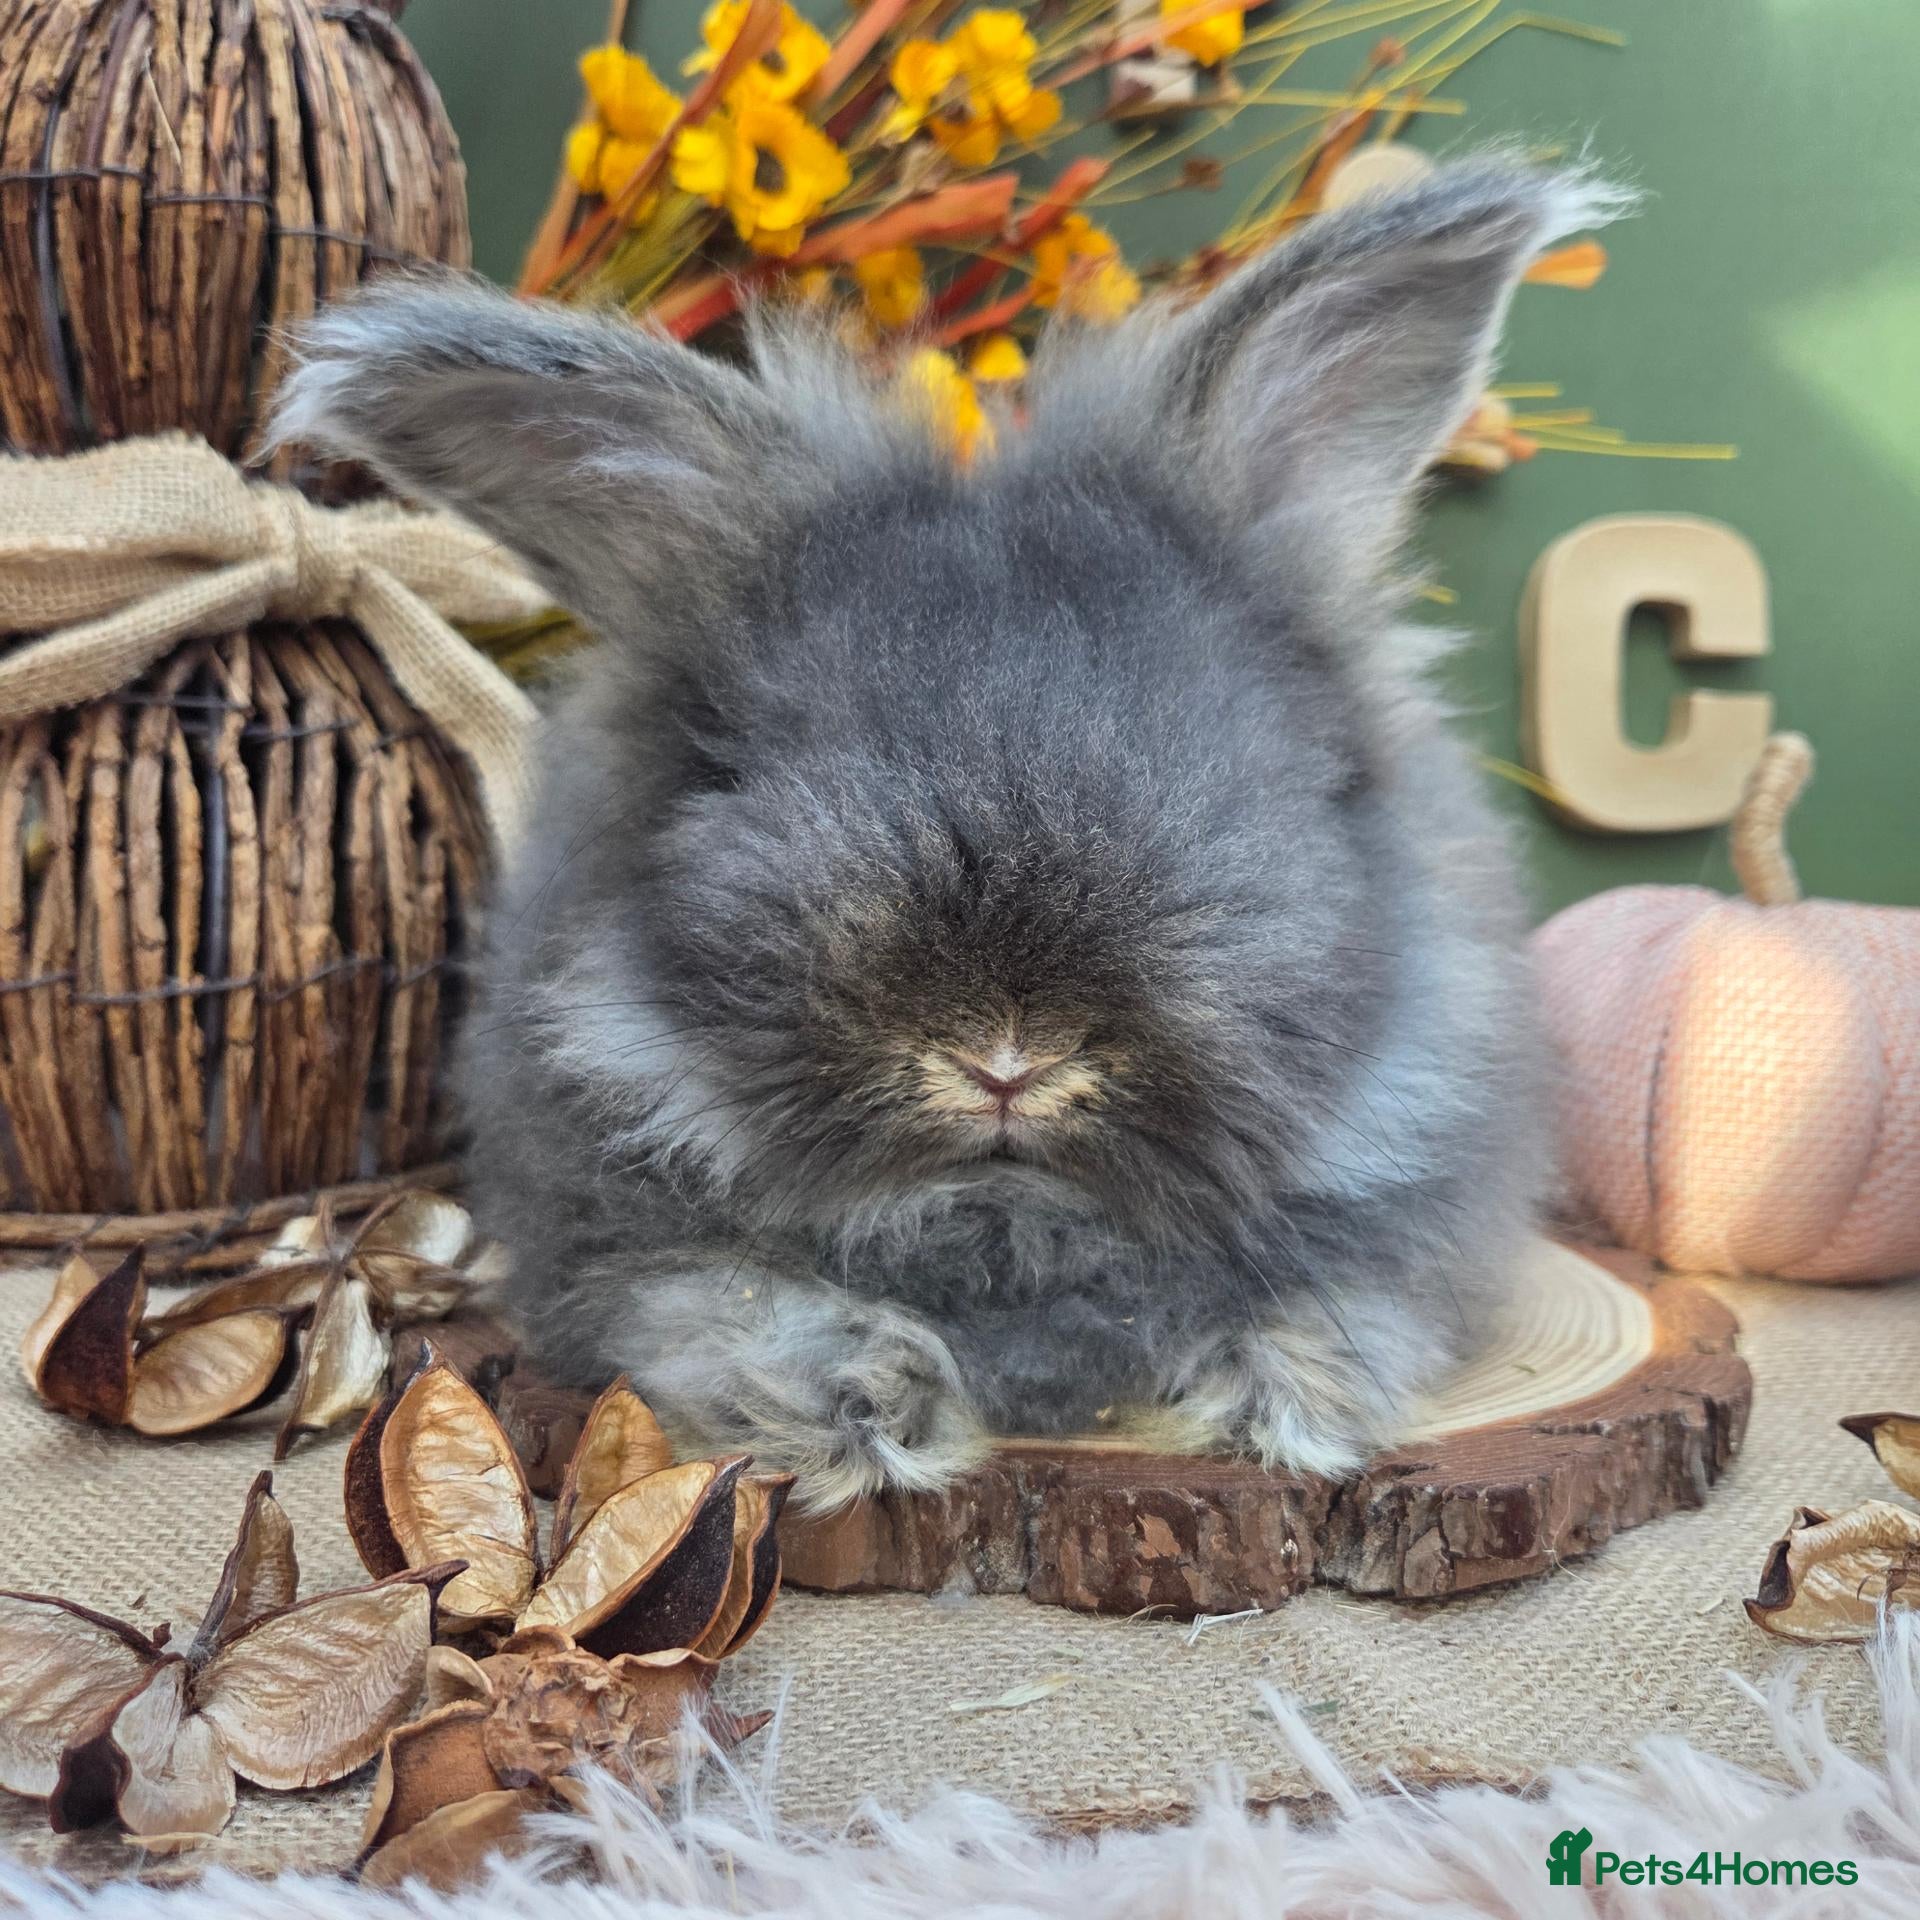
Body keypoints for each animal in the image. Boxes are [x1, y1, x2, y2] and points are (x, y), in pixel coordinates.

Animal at [275, 157, 1621, 1509]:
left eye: (1255, 774)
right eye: (734, 770)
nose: (1005, 1057)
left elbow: (1341, 1301)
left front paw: (1286, 1402)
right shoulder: (626, 1257)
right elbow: (731, 1307)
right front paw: (862, 1408)